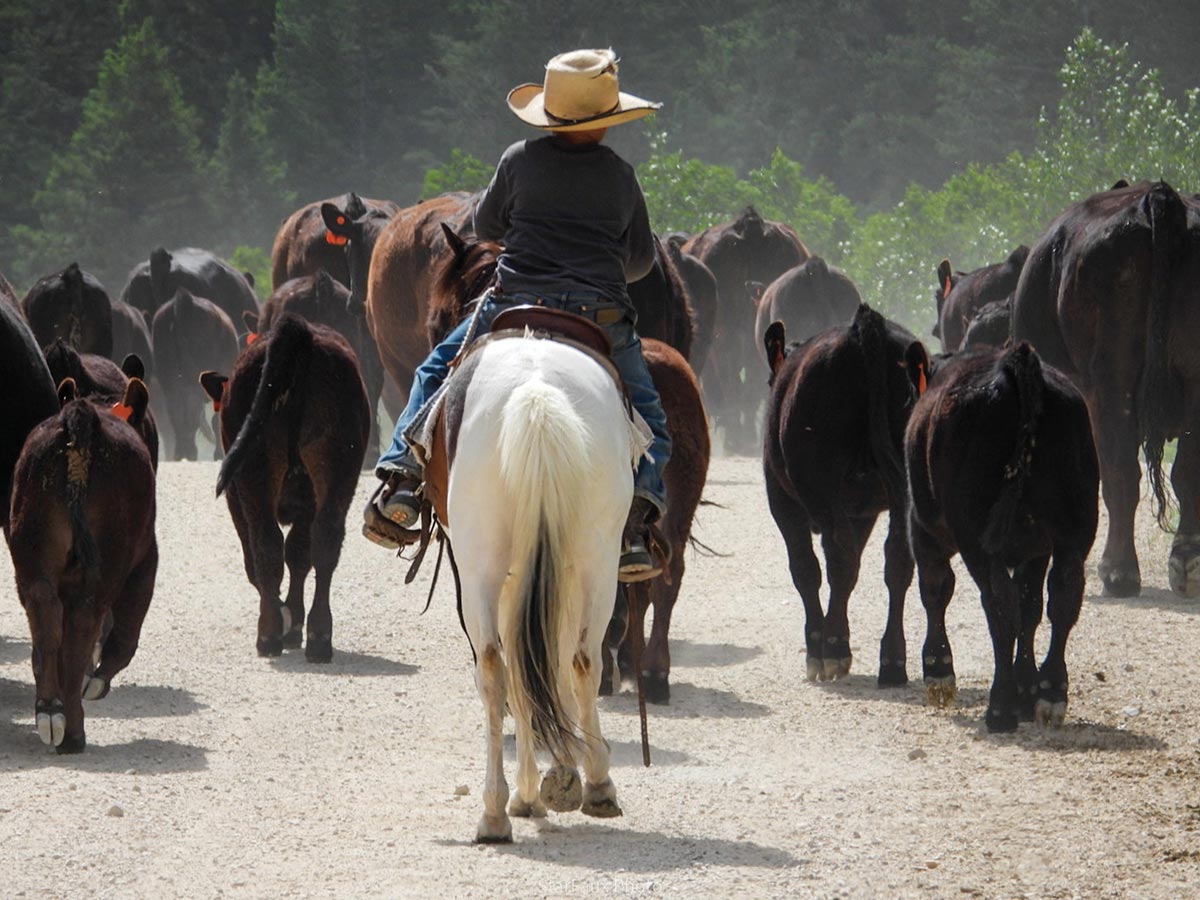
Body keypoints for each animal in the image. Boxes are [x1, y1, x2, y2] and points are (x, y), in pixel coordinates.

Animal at [9, 375, 157, 752]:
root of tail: (82, 419)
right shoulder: (146, 561)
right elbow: (126, 632)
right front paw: (98, 681)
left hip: (33, 555)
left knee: (45, 613)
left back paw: (50, 709)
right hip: (107, 567)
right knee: (83, 628)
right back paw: (73, 730)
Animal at [200, 313, 370, 661]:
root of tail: (299, 332)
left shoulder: (235, 499)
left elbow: (260, 560)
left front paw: (285, 617)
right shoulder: (308, 503)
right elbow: (300, 554)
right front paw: (293, 620)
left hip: (253, 473)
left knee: (265, 545)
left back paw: (268, 635)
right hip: (337, 467)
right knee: (325, 541)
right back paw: (319, 637)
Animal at [763, 304, 929, 684]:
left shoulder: (782, 501)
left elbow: (806, 569)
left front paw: (818, 644)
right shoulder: (861, 511)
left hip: (818, 485)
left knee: (836, 555)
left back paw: (833, 648)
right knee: (897, 558)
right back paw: (892, 660)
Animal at [905, 343, 1099, 732]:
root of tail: (1014, 365)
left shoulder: (922, 528)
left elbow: (935, 590)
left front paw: (938, 671)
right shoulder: (1036, 550)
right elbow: (1031, 607)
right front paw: (1027, 686)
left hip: (975, 539)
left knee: (999, 605)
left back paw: (1001, 707)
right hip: (1074, 529)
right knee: (1062, 597)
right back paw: (1050, 691)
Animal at [1011, 180, 1200, 598]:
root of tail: (1158, 199)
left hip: (1110, 385)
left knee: (1119, 472)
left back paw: (1118, 569)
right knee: (1186, 469)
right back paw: (1185, 560)